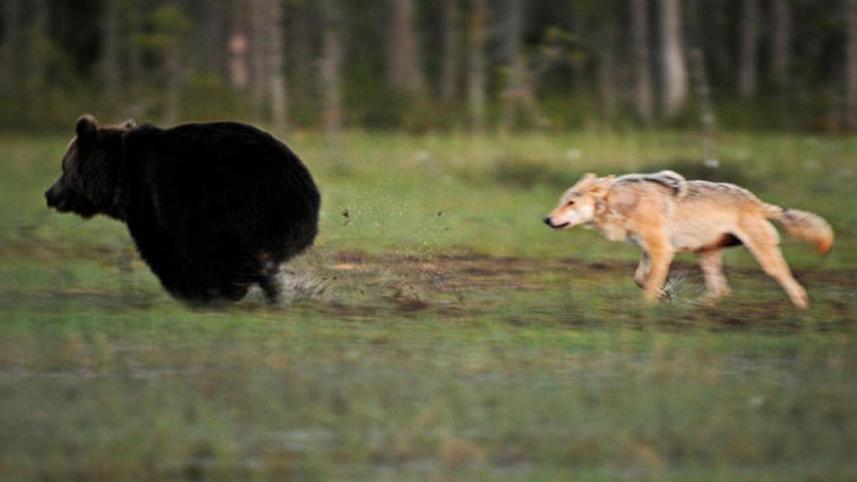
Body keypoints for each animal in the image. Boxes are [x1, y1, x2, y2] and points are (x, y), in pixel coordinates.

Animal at [45, 114, 321, 304]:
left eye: (63, 167)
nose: (49, 194)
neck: (117, 177)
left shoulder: (152, 198)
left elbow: (162, 247)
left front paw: (192, 291)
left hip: (233, 203)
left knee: (227, 250)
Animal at [543, 170, 833, 308]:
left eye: (571, 203)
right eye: (561, 201)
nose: (546, 219)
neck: (622, 205)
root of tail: (757, 202)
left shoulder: (662, 251)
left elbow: (647, 288)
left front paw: (646, 311)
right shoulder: (650, 251)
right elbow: (640, 279)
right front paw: (664, 296)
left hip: (764, 259)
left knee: (795, 287)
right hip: (706, 255)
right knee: (721, 291)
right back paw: (692, 307)